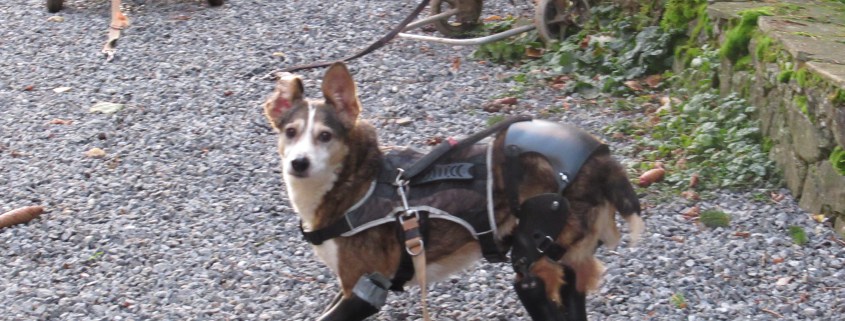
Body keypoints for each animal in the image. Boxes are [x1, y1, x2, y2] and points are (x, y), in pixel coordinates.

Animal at [260, 61, 644, 318]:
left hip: (537, 246)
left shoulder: (362, 286)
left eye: (325, 136)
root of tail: (602, 158)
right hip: (564, 252)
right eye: (290, 132)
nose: (299, 163)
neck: (355, 180)